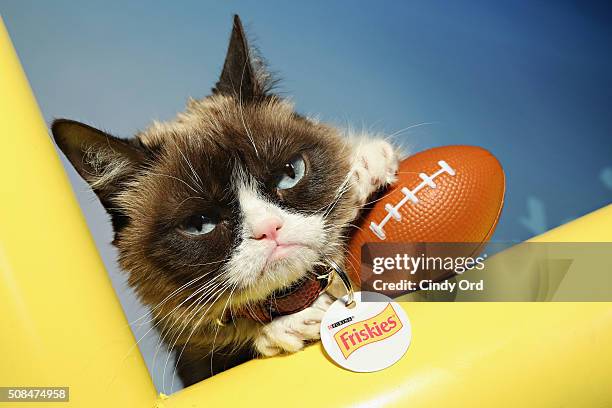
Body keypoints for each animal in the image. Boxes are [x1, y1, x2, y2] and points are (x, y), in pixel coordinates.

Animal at [50, 15, 400, 386]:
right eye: (199, 224)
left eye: (289, 174)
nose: (269, 229)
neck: (294, 296)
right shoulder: (194, 366)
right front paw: (286, 328)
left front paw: (364, 164)